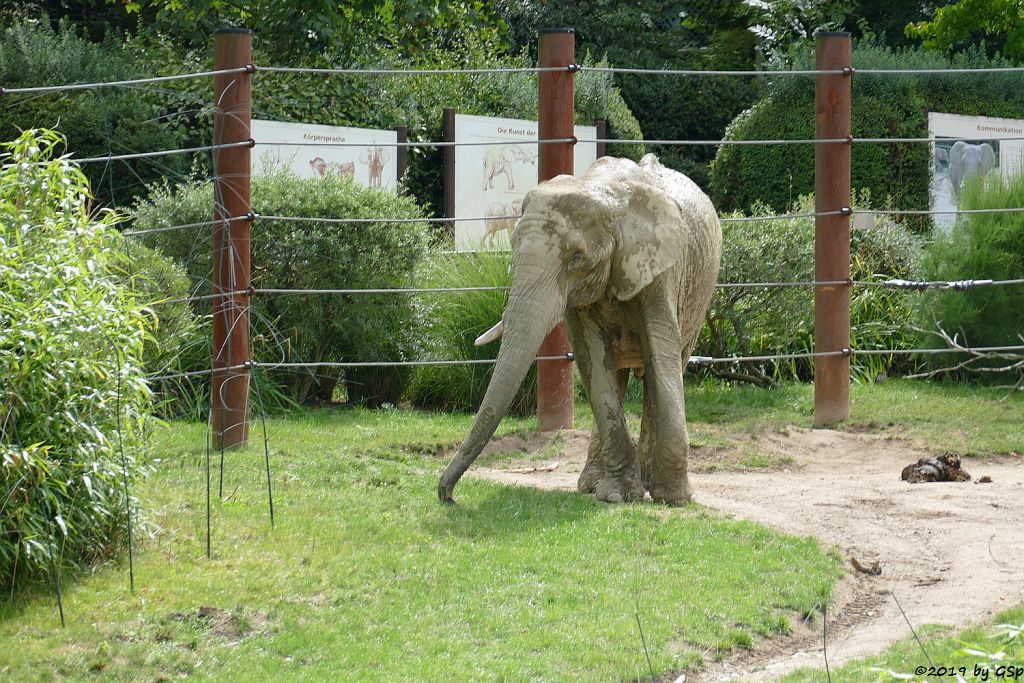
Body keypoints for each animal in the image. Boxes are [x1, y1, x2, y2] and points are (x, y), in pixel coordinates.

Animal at [438, 154, 720, 507]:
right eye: (513, 246)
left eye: (577, 259)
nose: (449, 496)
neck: (603, 194)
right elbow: (593, 361)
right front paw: (616, 496)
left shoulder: (662, 271)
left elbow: (661, 358)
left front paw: (675, 499)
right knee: (615, 375)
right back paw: (594, 486)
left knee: (668, 367)